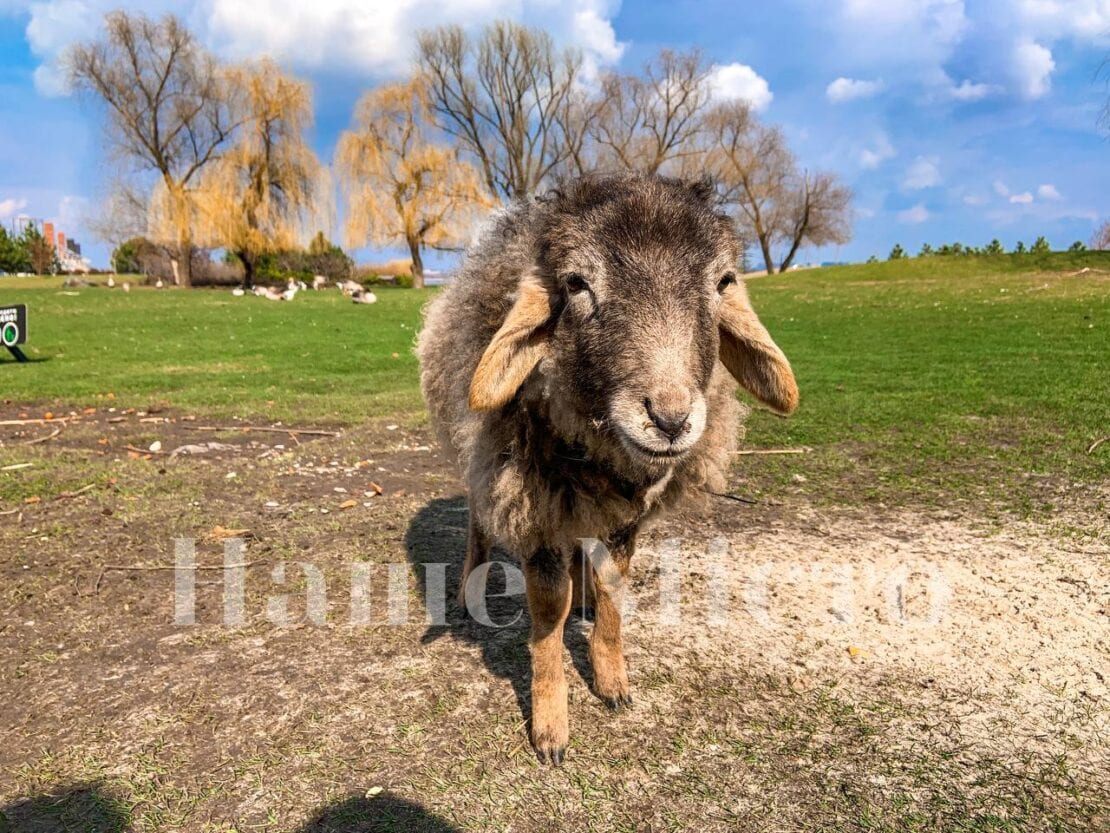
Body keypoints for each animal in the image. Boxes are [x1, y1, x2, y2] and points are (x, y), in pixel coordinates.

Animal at [417, 173, 799, 768]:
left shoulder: (626, 516)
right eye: (576, 283)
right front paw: (550, 726)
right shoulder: (536, 511)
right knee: (480, 521)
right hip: (483, 469)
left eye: (722, 282)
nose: (670, 419)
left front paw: (613, 681)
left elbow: (615, 589)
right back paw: (467, 588)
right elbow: (547, 613)